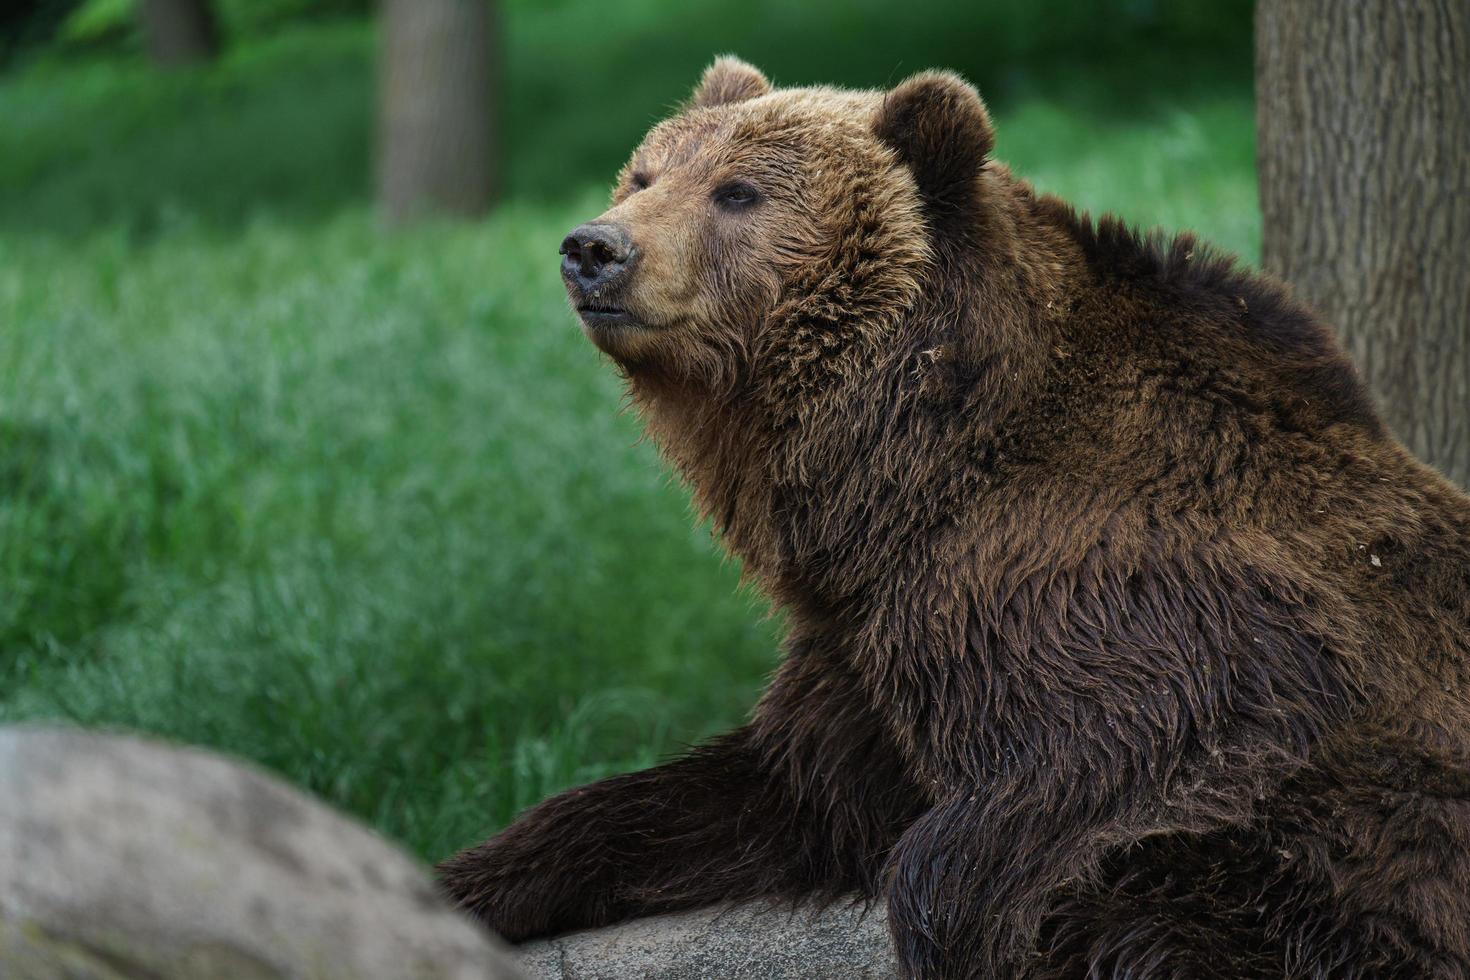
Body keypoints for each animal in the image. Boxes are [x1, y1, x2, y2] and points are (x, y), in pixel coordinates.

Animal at [441, 61, 1470, 980]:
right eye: (646, 174)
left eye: (737, 192)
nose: (594, 247)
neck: (910, 470)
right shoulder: (862, 650)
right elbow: (758, 790)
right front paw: (469, 881)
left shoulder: (1110, 585)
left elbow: (1103, 761)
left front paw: (961, 914)